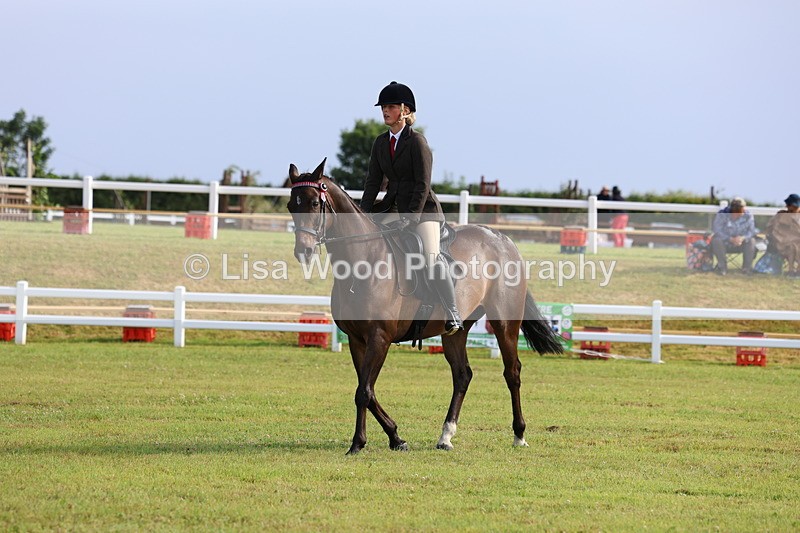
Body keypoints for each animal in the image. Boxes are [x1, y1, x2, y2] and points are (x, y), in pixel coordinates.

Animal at [287, 159, 563, 455]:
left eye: (314, 203)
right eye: (292, 205)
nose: (303, 251)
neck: (363, 260)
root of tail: (504, 240)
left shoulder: (379, 337)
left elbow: (364, 392)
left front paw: (359, 443)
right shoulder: (357, 339)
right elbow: (367, 391)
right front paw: (395, 438)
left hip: (504, 324)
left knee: (512, 373)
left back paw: (519, 434)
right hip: (456, 330)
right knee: (462, 375)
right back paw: (446, 436)